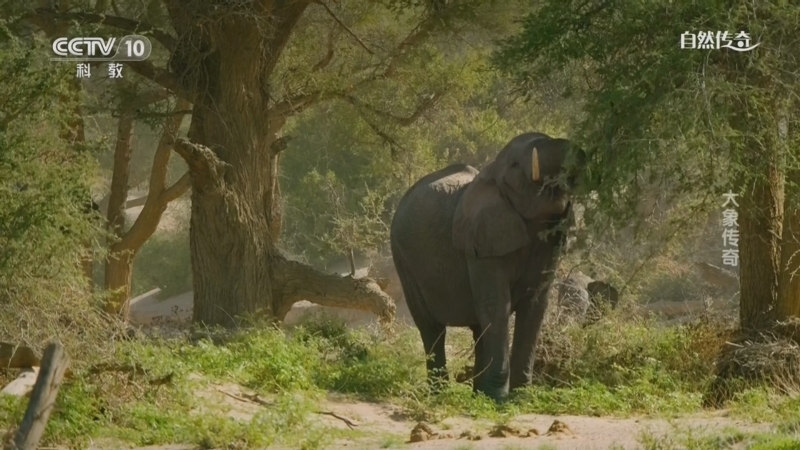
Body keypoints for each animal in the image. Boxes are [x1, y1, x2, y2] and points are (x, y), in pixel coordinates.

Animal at [389, 132, 586, 401]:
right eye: (515, 166)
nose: (584, 153)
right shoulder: (480, 239)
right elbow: (497, 304)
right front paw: (499, 400)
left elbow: (535, 306)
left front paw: (520, 397)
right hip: (403, 257)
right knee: (431, 327)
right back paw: (440, 394)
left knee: (477, 326)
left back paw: (477, 394)